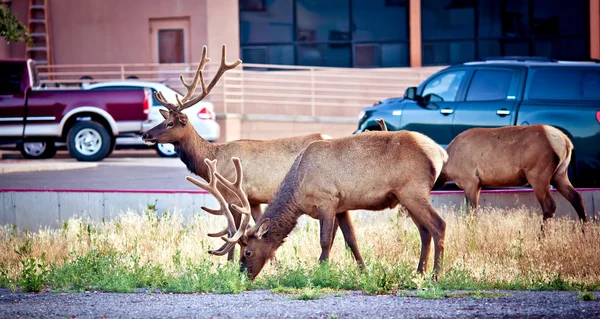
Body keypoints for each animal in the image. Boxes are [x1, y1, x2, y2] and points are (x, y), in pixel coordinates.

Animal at [139, 44, 338, 260]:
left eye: (169, 123)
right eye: (164, 120)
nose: (145, 135)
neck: (214, 158)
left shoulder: (234, 196)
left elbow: (233, 234)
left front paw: (229, 264)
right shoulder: (254, 199)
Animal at [190, 131, 448, 282]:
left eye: (248, 252)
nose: (242, 276)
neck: (298, 187)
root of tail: (440, 152)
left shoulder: (327, 200)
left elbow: (325, 241)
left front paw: (320, 272)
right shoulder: (342, 206)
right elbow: (351, 240)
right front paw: (364, 272)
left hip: (413, 190)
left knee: (439, 225)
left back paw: (436, 275)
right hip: (407, 196)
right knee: (424, 231)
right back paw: (419, 272)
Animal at [436, 125, 584, 222]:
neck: (448, 166)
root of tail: (567, 142)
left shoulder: (470, 181)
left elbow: (471, 213)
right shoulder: (478, 184)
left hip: (538, 175)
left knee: (549, 205)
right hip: (559, 174)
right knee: (577, 197)